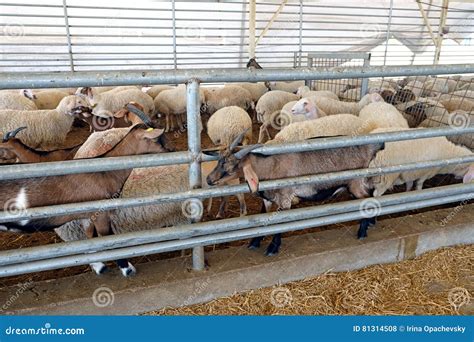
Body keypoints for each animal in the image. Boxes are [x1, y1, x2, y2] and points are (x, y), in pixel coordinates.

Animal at [206, 130, 384, 252]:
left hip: (355, 183)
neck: (271, 167)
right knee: (371, 193)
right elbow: (263, 216)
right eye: (219, 161)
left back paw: (362, 232)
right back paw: (371, 223)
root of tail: (370, 147)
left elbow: (279, 224)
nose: (208, 179)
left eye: (231, 167)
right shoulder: (267, 199)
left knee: (367, 199)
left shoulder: (285, 199)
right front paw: (255, 242)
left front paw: (273, 248)